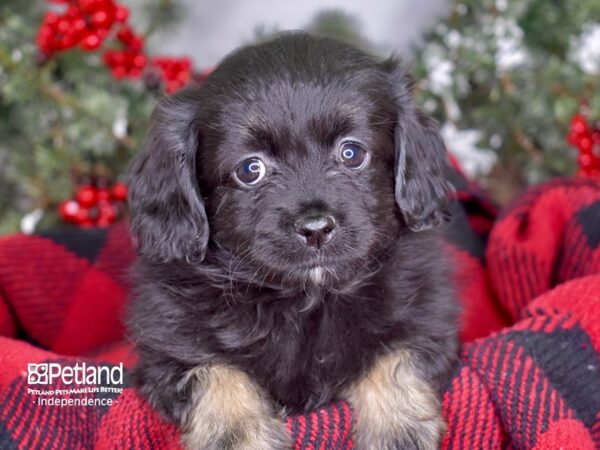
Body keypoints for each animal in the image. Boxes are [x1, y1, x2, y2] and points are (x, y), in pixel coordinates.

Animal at [129, 32, 460, 450]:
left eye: (352, 153)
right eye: (250, 169)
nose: (316, 227)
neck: (306, 300)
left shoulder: (426, 316)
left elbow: (394, 357)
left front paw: (396, 430)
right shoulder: (167, 347)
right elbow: (216, 373)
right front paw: (237, 435)